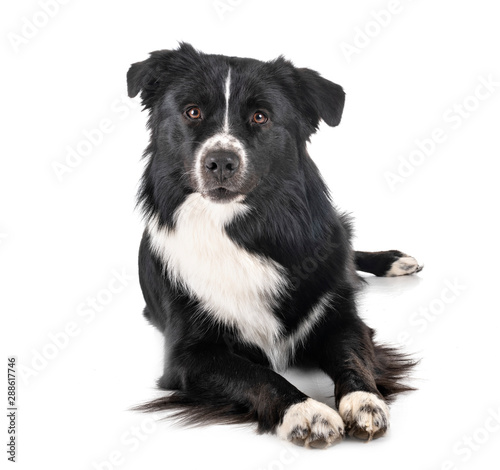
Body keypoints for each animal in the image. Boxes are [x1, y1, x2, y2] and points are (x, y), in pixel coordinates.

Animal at [128, 43, 422, 448]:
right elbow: (257, 375)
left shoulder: (341, 318)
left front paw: (364, 400)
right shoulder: (187, 356)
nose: (221, 162)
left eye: (260, 116)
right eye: (192, 112)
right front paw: (305, 410)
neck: (244, 233)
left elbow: (353, 357)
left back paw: (394, 261)